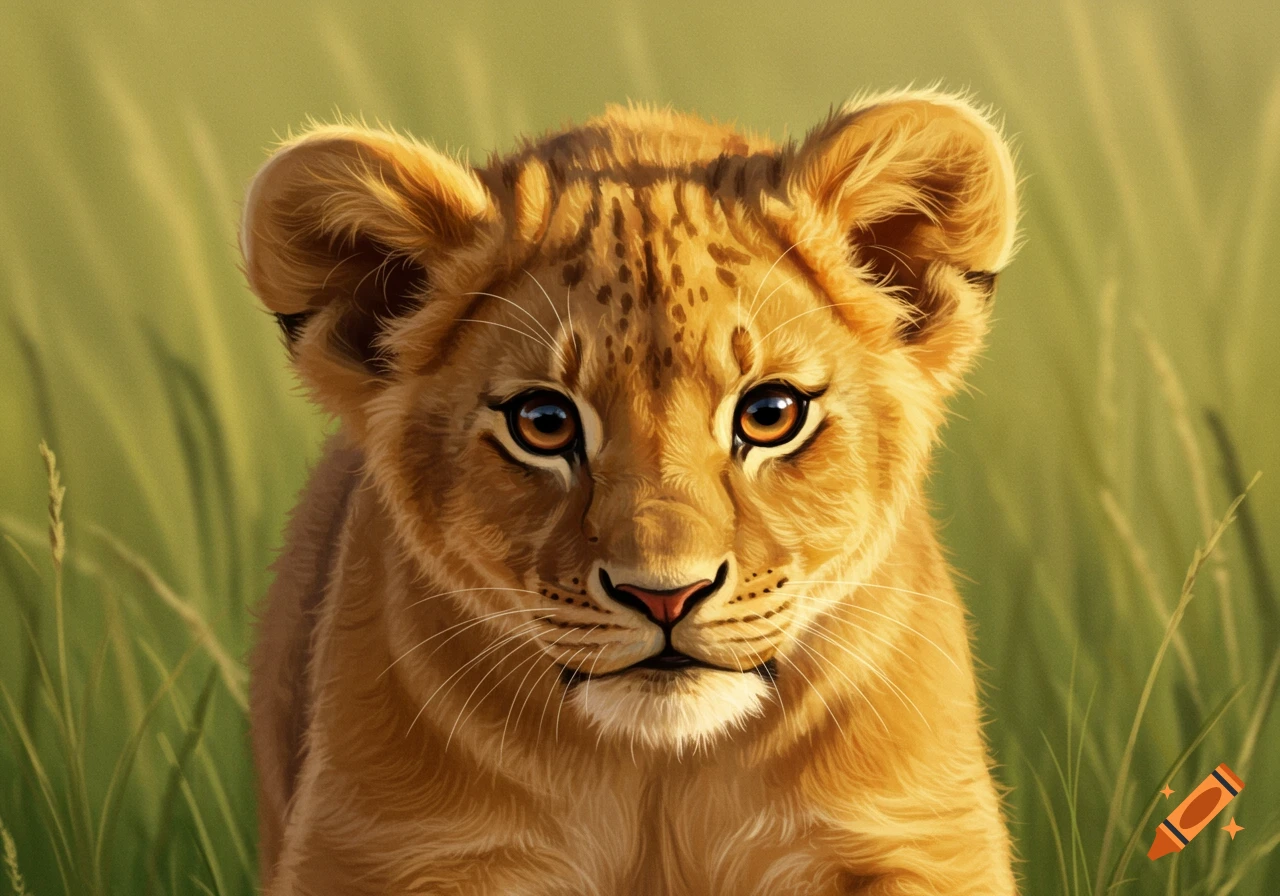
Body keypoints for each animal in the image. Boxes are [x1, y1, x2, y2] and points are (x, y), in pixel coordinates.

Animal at [241, 88, 1020, 895]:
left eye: (771, 414)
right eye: (543, 423)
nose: (665, 597)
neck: (658, 772)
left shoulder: (917, 838)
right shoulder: (382, 850)